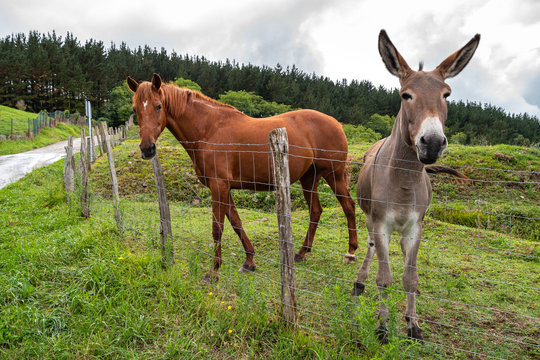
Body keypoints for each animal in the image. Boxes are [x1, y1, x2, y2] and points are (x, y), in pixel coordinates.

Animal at [124, 73, 356, 282]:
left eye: (158, 106)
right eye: (135, 109)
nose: (147, 148)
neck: (209, 130)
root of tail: (336, 123)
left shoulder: (219, 187)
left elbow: (217, 228)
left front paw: (213, 271)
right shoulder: (223, 188)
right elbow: (236, 223)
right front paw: (249, 261)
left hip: (333, 175)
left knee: (348, 206)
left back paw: (351, 252)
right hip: (309, 178)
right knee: (316, 211)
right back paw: (301, 253)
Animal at [354, 29, 480, 342]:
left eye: (446, 95)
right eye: (406, 95)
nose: (432, 142)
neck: (405, 180)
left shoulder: (415, 228)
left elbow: (410, 277)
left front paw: (413, 324)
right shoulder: (381, 224)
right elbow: (384, 278)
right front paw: (383, 327)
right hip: (370, 218)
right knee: (371, 247)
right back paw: (359, 283)